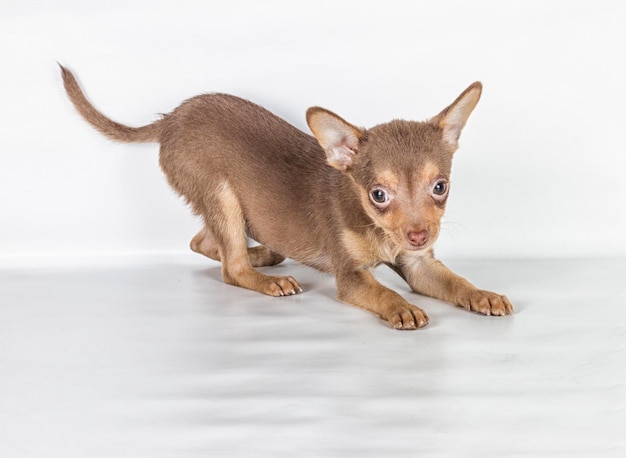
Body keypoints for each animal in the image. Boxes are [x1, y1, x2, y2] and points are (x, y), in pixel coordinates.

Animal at [59, 65, 512, 330]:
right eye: (378, 194)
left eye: (440, 187)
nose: (420, 236)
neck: (373, 227)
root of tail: (170, 118)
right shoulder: (351, 276)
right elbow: (382, 290)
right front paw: (400, 305)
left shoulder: (418, 265)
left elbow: (456, 281)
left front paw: (484, 294)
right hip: (221, 193)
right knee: (230, 266)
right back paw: (265, 276)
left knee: (203, 242)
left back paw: (264, 253)